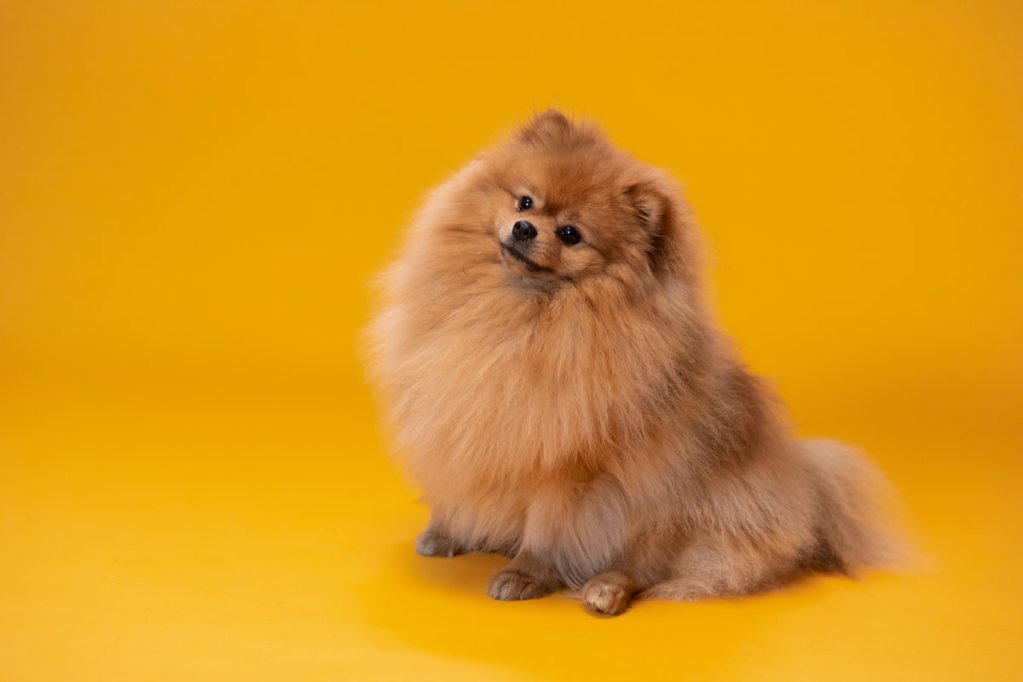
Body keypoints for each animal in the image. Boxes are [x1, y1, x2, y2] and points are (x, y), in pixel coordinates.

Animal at [366, 109, 904, 617]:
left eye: (571, 234)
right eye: (525, 202)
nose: (523, 228)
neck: (522, 311)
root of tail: (800, 484)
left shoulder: (566, 468)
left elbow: (546, 528)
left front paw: (525, 573)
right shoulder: (468, 423)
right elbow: (460, 484)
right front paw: (448, 531)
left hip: (672, 514)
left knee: (648, 569)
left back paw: (604, 590)